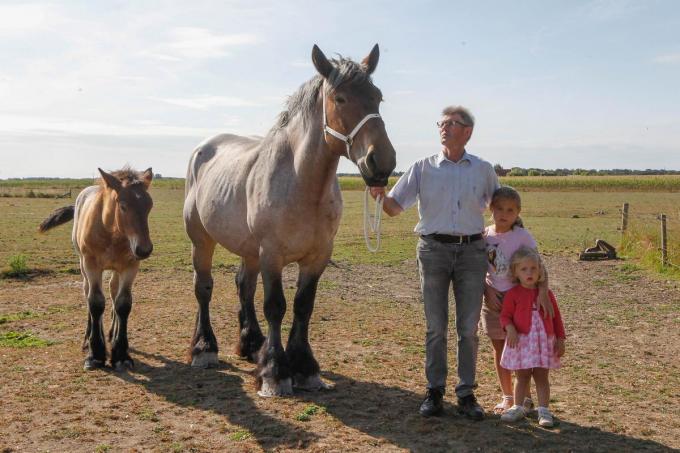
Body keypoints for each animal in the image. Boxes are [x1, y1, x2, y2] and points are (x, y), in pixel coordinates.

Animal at [39, 167, 154, 371]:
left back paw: (111, 333)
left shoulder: (130, 266)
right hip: (83, 266)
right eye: (122, 205)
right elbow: (95, 302)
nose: (144, 249)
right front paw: (96, 354)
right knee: (88, 294)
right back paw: (88, 337)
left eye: (149, 205)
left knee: (113, 292)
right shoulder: (91, 265)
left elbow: (123, 304)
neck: (111, 232)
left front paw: (121, 354)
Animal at [184, 44, 396, 396]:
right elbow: (276, 306)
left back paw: (251, 344)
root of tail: (203, 148)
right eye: (339, 98)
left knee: (243, 286)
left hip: (248, 250)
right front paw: (275, 371)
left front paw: (304, 367)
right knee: (204, 288)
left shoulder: (317, 256)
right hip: (202, 242)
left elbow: (302, 306)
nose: (381, 162)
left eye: (378, 97)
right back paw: (205, 348)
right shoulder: (272, 254)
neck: (301, 183)